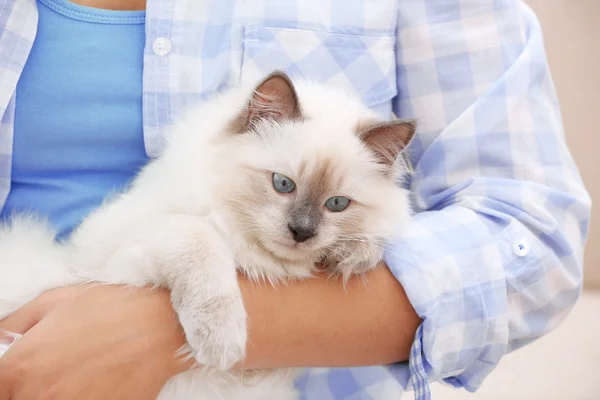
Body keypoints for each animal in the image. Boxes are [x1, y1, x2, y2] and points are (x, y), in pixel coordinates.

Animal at [0, 70, 414, 398]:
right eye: (283, 184)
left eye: (337, 204)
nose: (302, 232)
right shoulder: (111, 258)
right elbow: (200, 238)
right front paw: (222, 342)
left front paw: (354, 256)